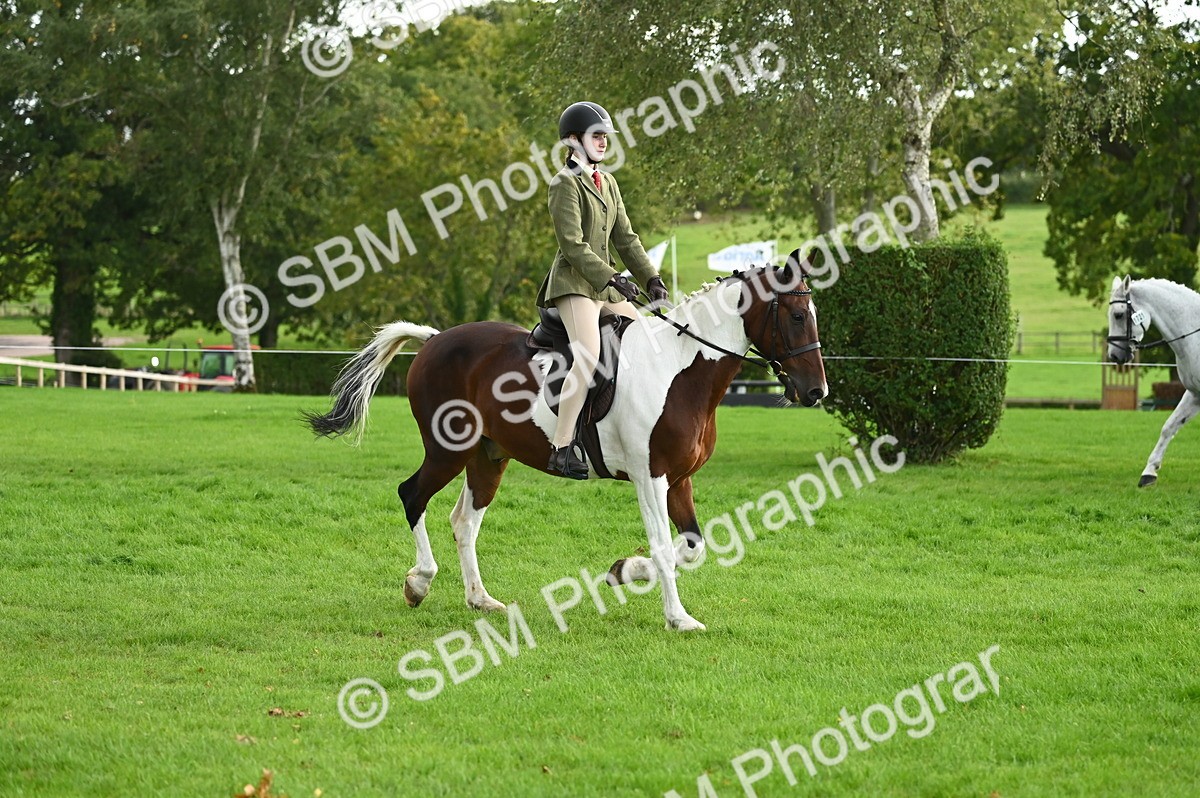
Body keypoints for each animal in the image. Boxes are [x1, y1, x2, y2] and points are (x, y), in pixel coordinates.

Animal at [305, 259, 827, 631]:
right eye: (797, 316)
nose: (816, 392)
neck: (680, 371)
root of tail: (433, 341)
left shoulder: (679, 480)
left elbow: (693, 547)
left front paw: (623, 570)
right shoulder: (650, 477)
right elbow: (664, 547)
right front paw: (677, 618)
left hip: (488, 457)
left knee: (464, 521)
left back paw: (481, 599)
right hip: (446, 451)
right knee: (412, 495)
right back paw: (419, 584)